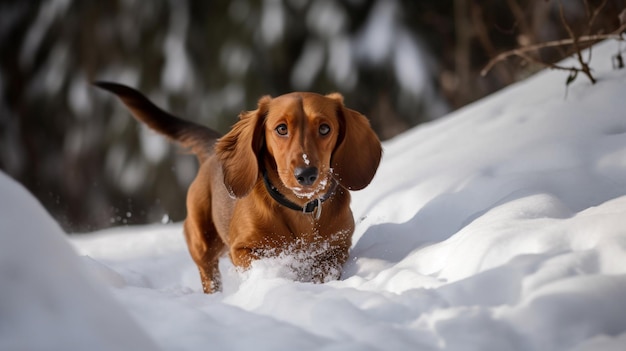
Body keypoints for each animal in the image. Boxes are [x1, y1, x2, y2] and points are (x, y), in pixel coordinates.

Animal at [96, 81, 380, 292]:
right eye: (281, 129)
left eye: (324, 128)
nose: (307, 174)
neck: (300, 209)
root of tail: (212, 147)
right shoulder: (243, 249)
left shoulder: (337, 246)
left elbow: (325, 268)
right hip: (202, 239)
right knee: (208, 273)